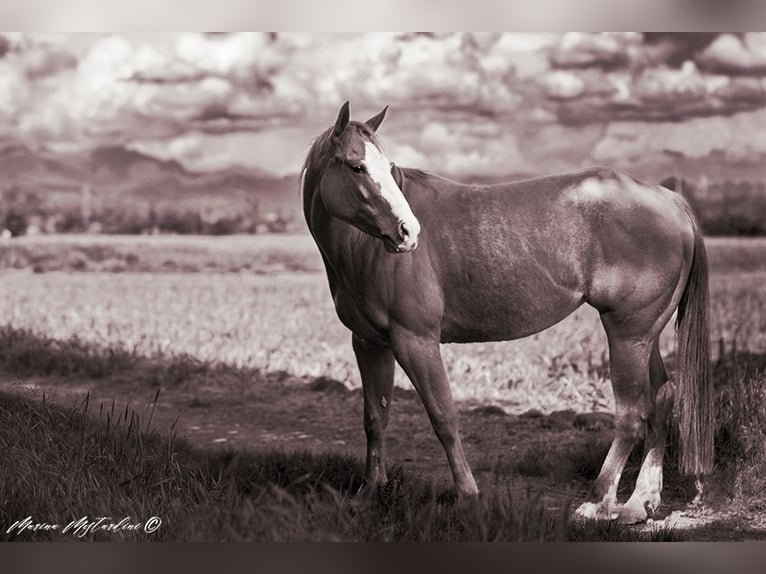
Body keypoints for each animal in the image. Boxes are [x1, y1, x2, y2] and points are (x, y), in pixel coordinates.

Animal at [301, 101, 713, 524]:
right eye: (357, 167)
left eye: (388, 166)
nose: (408, 232)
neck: (359, 247)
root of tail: (669, 200)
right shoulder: (370, 344)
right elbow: (375, 418)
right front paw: (368, 493)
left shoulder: (415, 342)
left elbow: (443, 417)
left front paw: (468, 496)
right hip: (644, 335)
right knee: (662, 399)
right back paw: (639, 502)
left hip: (627, 334)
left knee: (632, 414)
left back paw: (598, 502)